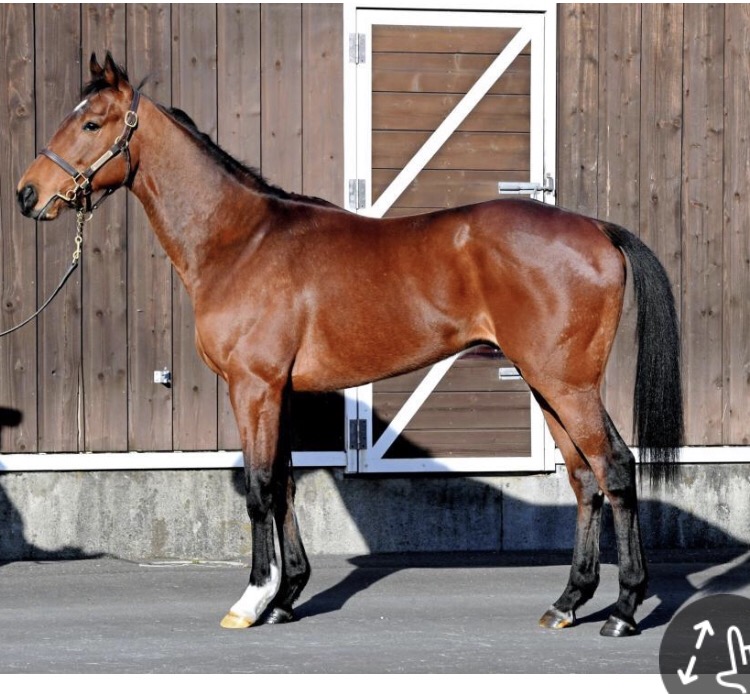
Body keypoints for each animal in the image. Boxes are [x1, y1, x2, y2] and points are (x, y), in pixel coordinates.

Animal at [17, 53, 683, 637]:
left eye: (91, 123)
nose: (27, 194)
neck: (241, 242)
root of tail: (597, 229)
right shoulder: (278, 392)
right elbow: (283, 484)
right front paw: (287, 597)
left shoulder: (253, 388)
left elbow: (259, 489)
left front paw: (252, 600)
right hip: (549, 387)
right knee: (585, 481)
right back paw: (568, 602)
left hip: (567, 386)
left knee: (615, 470)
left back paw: (625, 611)